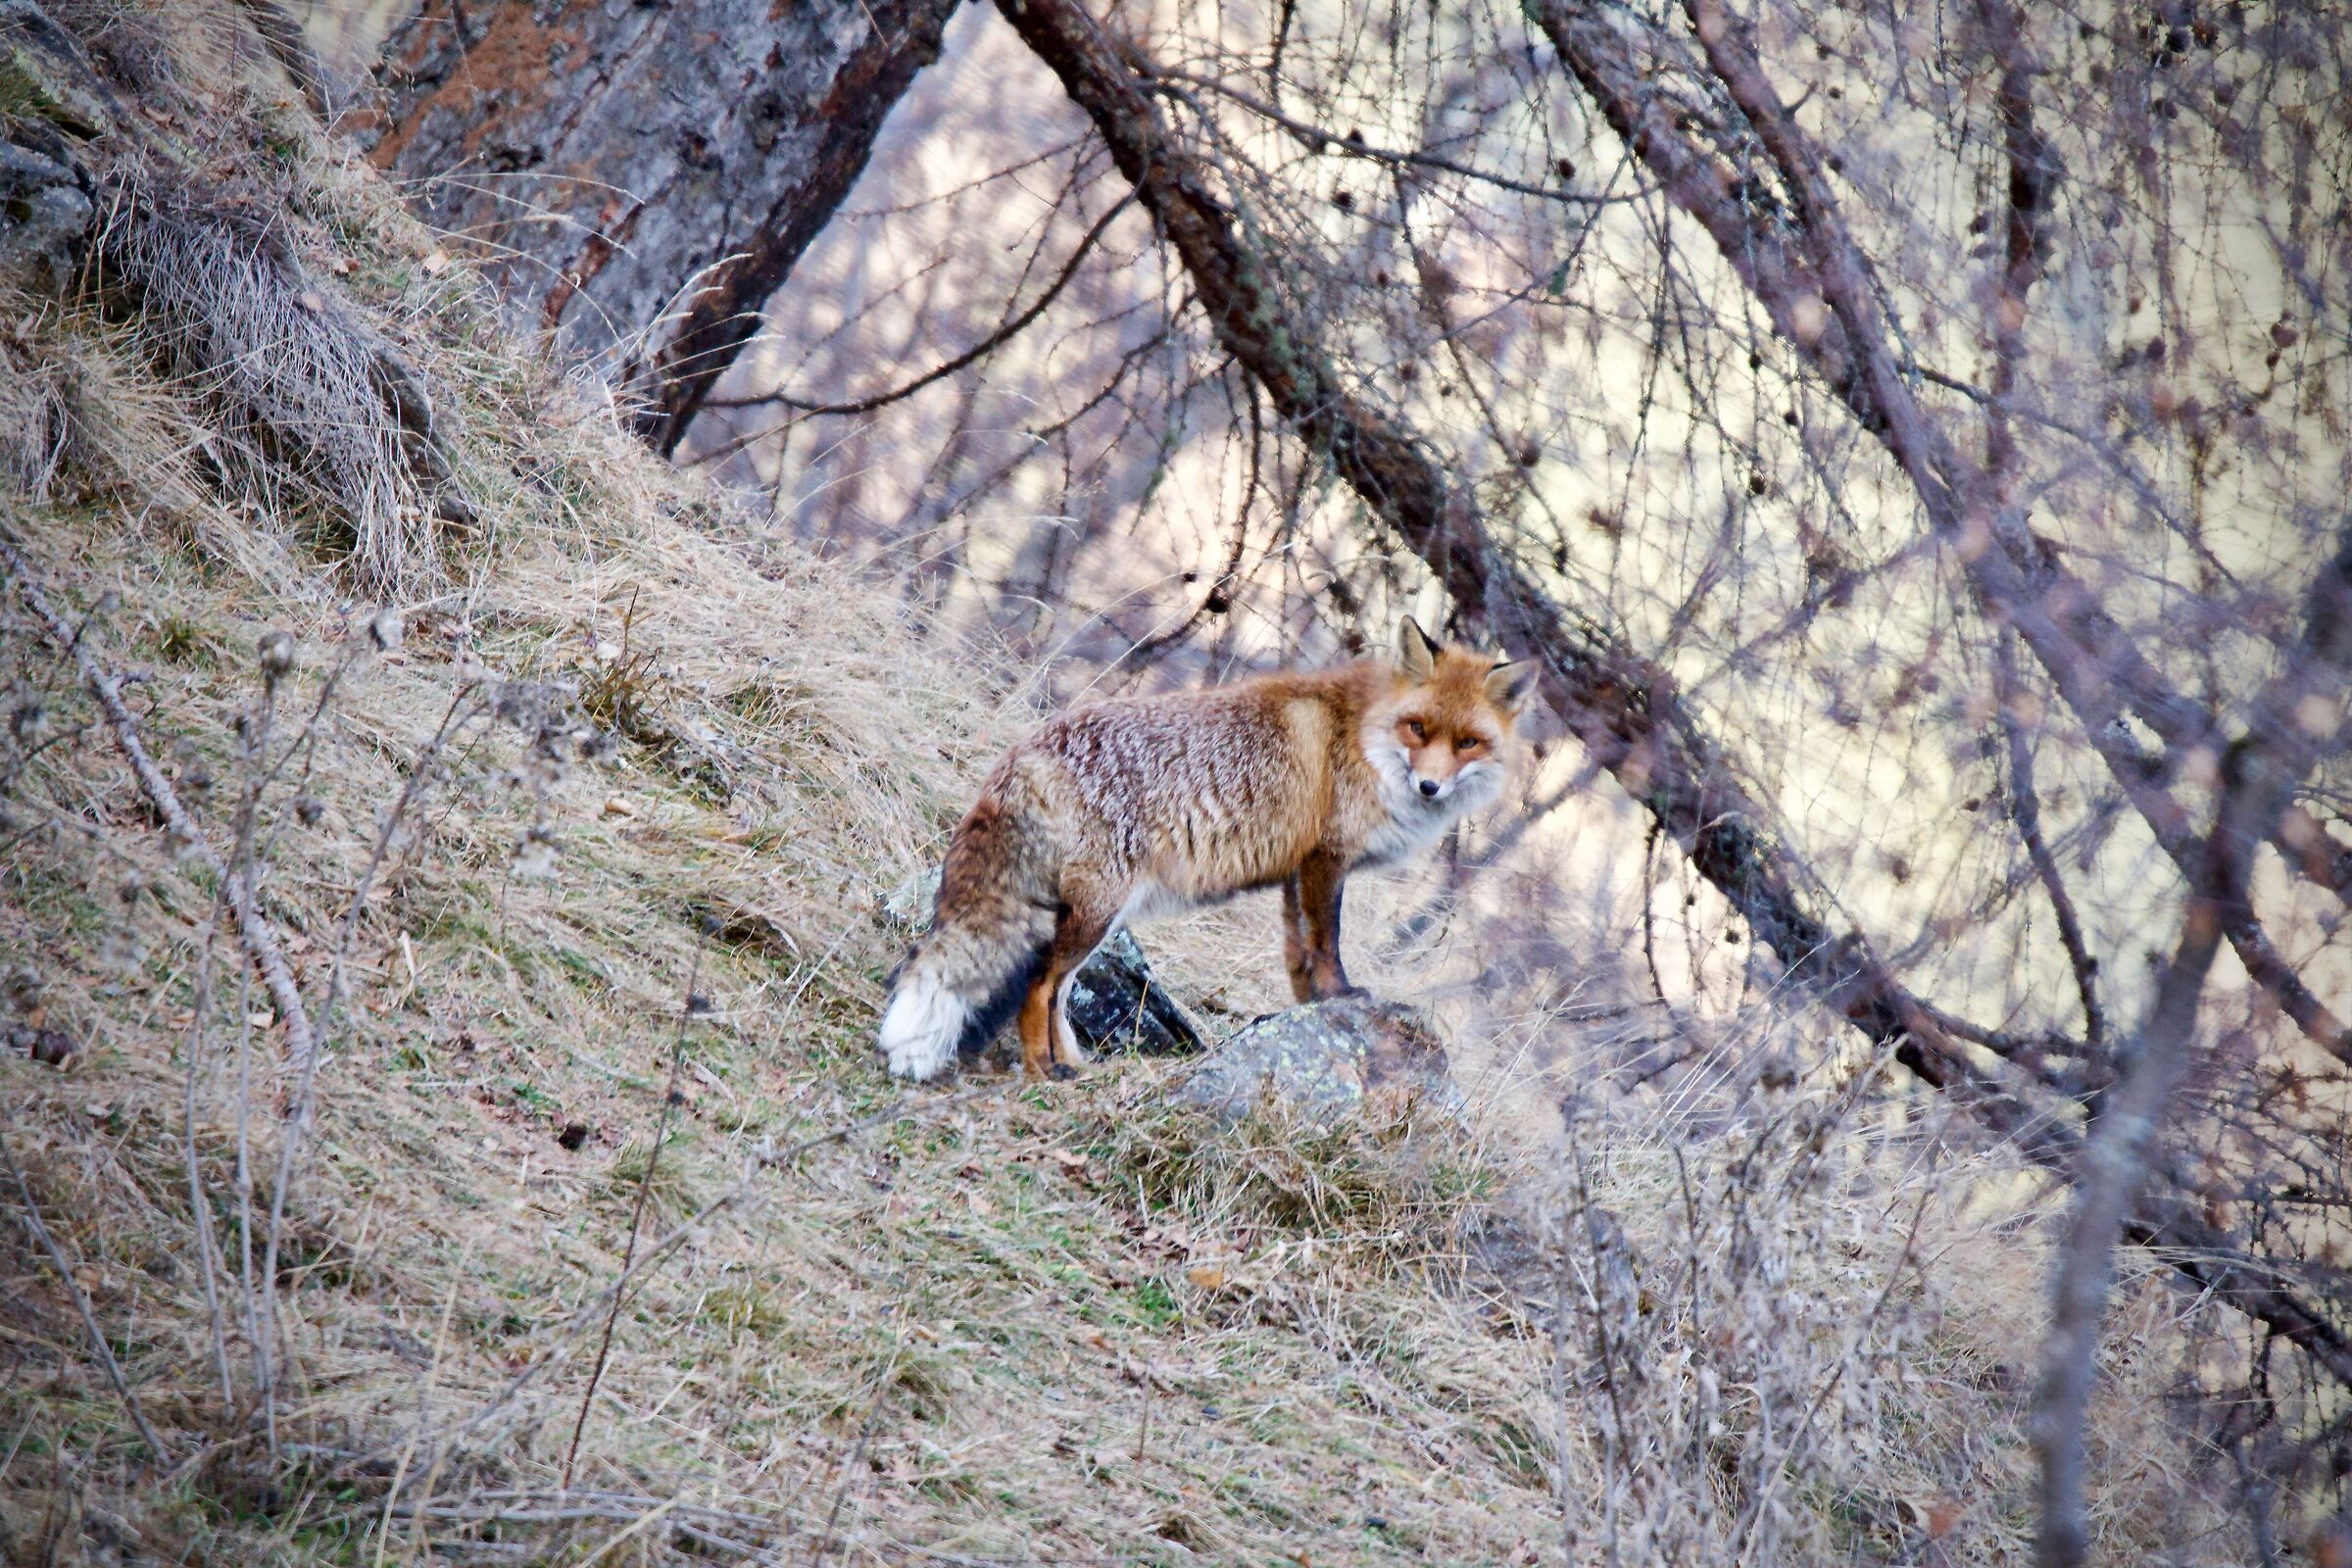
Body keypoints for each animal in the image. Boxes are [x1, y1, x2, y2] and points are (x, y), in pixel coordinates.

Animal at [877, 618, 1532, 1082]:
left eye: (1468, 743)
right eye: (1418, 729)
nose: (1430, 787)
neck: (1364, 736)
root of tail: (1023, 753)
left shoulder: (1296, 871)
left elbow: (1298, 957)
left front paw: (1308, 1017)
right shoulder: (1327, 859)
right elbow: (1328, 945)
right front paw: (1343, 999)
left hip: (1098, 917)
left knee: (1059, 990)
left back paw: (1073, 1065)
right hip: (1097, 913)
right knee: (1038, 987)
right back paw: (1045, 1070)